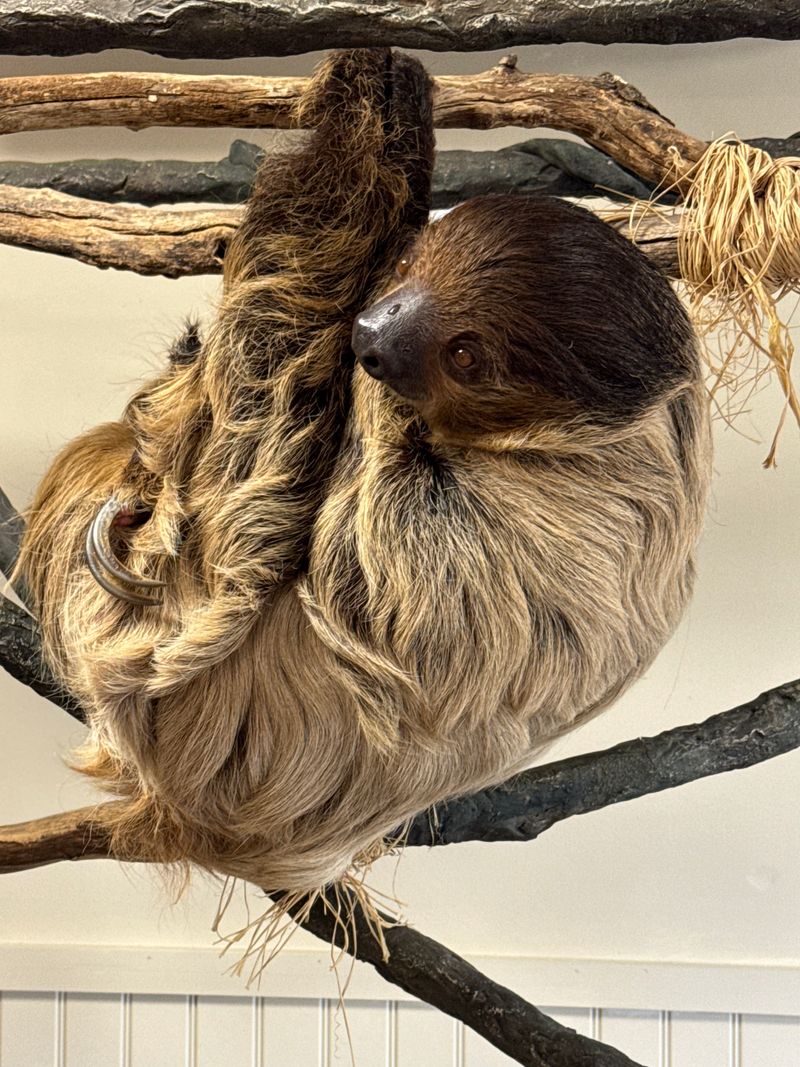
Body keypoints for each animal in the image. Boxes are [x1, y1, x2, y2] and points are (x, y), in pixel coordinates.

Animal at [17, 49, 711, 900]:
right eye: (414, 269)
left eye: (463, 354)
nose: (374, 334)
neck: (602, 440)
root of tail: (202, 835)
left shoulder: (435, 529)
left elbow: (254, 477)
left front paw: (377, 93)